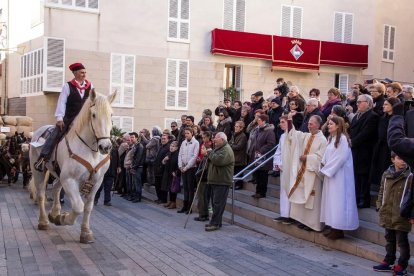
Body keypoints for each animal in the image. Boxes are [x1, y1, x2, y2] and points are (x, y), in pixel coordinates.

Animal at [29, 89, 116, 243]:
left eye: (111, 115)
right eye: (94, 115)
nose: (105, 147)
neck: (90, 151)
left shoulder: (97, 182)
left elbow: (88, 207)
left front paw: (85, 232)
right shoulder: (69, 179)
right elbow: (78, 206)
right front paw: (63, 218)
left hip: (60, 174)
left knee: (56, 187)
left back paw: (54, 213)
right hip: (39, 171)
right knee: (41, 195)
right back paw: (44, 221)